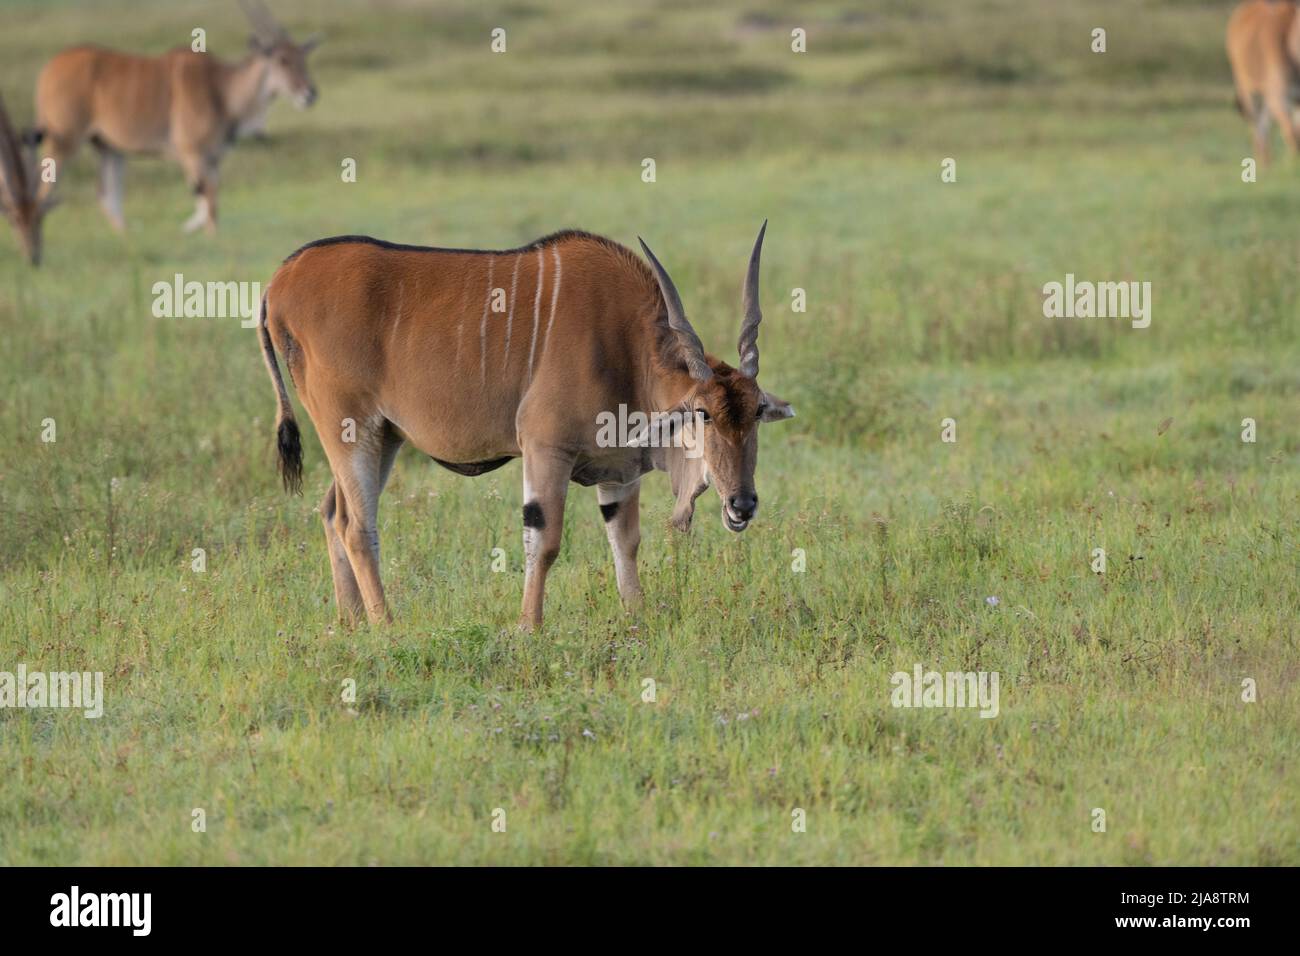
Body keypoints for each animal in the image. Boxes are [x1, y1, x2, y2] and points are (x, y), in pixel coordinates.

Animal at [32, 0, 317, 231]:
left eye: (303, 58)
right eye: (282, 60)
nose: (310, 93)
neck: (221, 87)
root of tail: (48, 69)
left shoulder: (212, 158)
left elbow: (208, 198)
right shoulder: (191, 152)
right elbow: (208, 201)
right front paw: (205, 234)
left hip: (110, 149)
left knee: (108, 196)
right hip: (64, 142)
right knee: (43, 193)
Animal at [256, 223, 790, 629]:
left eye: (756, 412)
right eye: (703, 413)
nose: (742, 504)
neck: (627, 347)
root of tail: (282, 277)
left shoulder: (618, 470)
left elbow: (626, 540)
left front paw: (636, 616)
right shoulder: (544, 448)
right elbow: (545, 540)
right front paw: (528, 627)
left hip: (382, 438)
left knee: (332, 511)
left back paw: (351, 624)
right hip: (351, 429)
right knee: (356, 524)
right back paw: (387, 627)